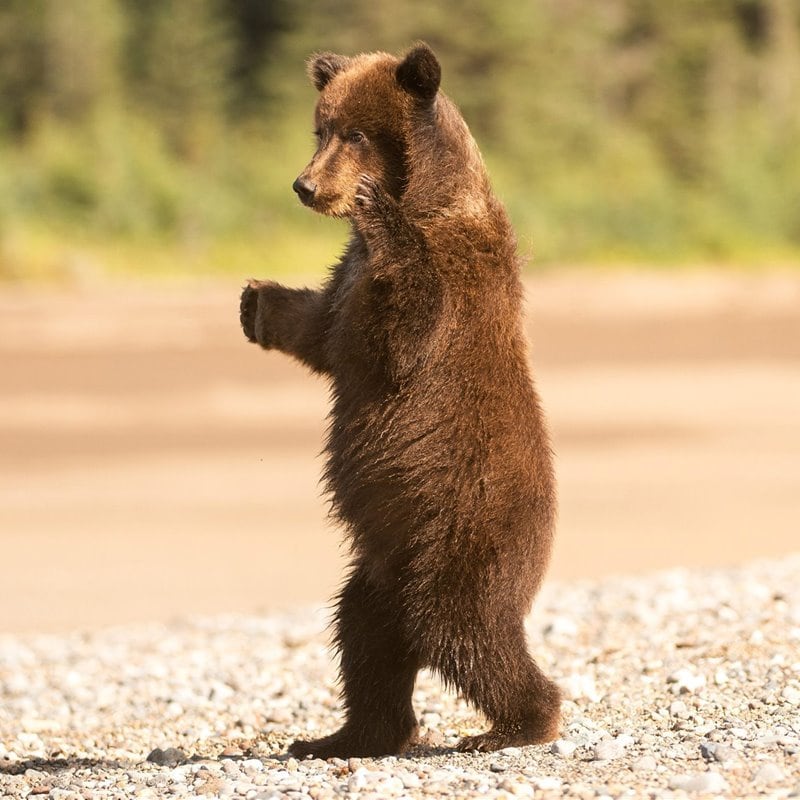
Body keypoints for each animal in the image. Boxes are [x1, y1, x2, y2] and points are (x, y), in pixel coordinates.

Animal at [241, 42, 560, 756]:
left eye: (357, 134)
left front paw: (374, 208)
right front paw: (255, 301)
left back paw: (519, 723)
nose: (306, 186)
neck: (424, 195)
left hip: (464, 531)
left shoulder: (454, 277)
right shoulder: (347, 280)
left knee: (462, 629)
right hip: (384, 560)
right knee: (365, 637)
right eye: (321, 129)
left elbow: (403, 330)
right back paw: (346, 735)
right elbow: (322, 332)